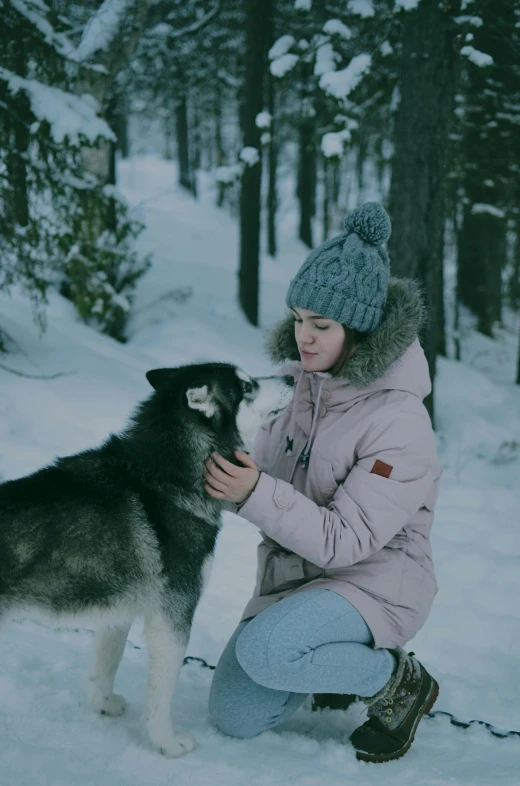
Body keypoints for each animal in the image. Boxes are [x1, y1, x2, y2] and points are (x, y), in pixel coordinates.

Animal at [0, 364, 292, 756]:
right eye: (247, 386)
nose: (292, 378)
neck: (165, 476)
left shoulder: (118, 609)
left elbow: (107, 663)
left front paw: (103, 703)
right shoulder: (173, 615)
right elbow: (162, 691)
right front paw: (166, 741)